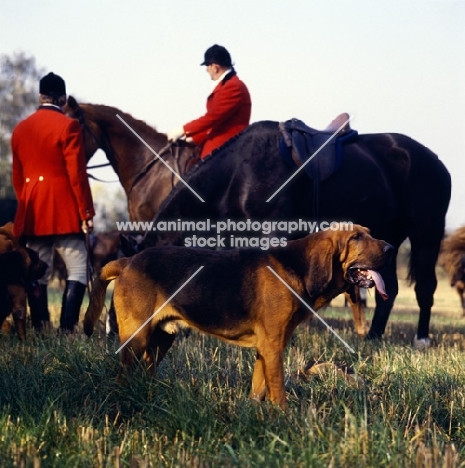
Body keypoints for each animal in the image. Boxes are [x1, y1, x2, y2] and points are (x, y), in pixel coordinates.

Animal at [84, 225, 392, 408]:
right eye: (355, 238)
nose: (390, 249)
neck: (296, 267)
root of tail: (127, 261)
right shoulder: (273, 347)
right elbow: (278, 390)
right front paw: (286, 420)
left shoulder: (266, 350)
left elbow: (259, 388)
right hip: (137, 338)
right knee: (123, 376)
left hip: (160, 340)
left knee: (144, 373)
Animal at [145, 119, 450, 344]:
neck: (239, 172)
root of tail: (435, 161)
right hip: (386, 243)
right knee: (389, 290)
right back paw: (373, 337)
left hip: (427, 234)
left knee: (425, 287)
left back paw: (421, 339)